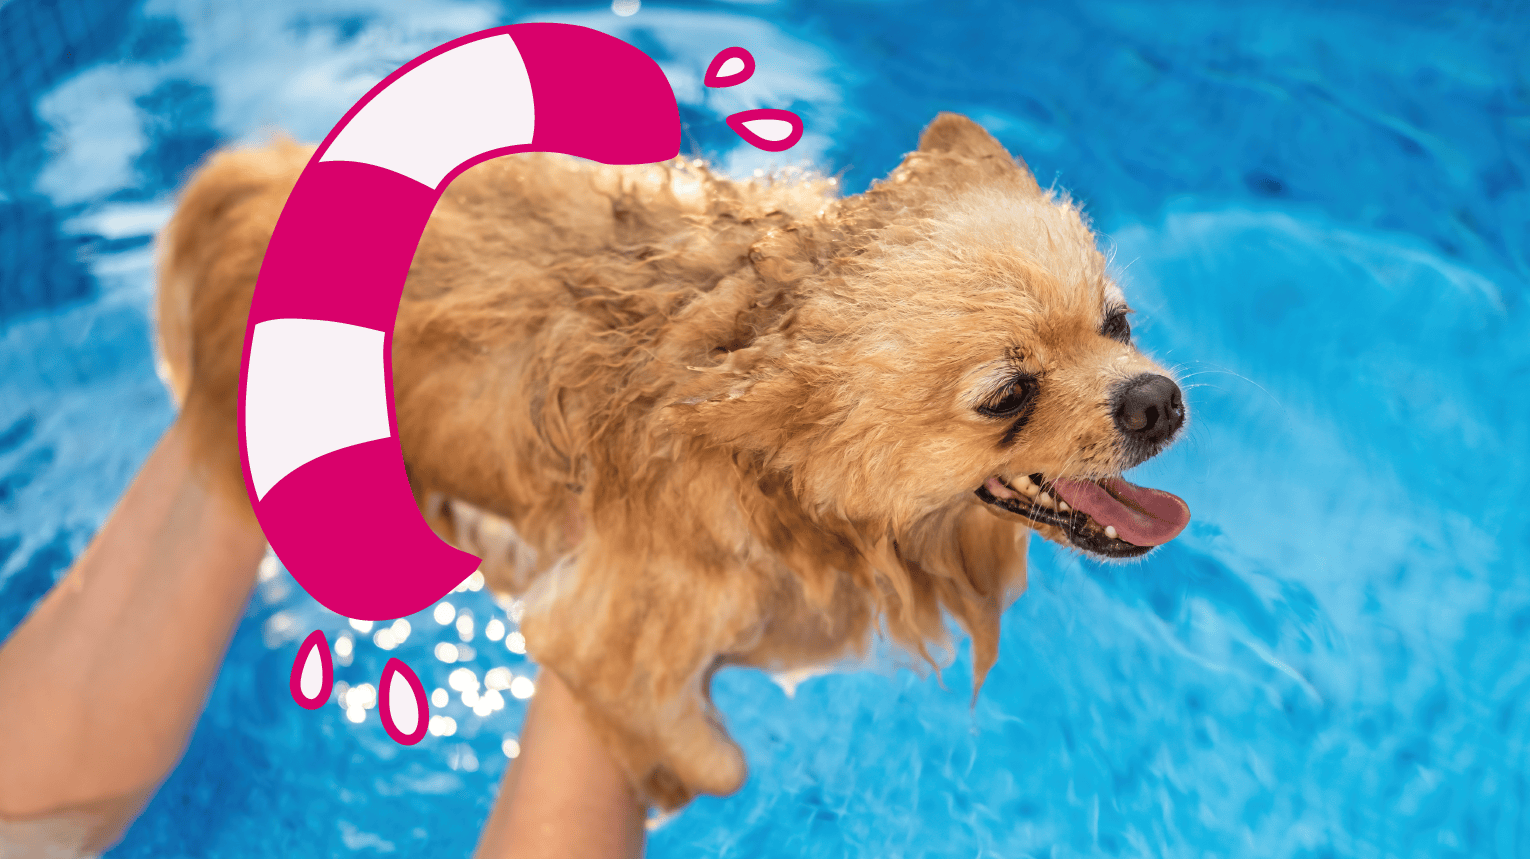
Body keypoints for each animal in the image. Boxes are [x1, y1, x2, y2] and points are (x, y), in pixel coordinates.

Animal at [155, 114, 1187, 808]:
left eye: (1118, 322)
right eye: (1008, 396)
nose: (1157, 398)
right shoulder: (603, 628)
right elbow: (719, 763)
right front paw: (667, 777)